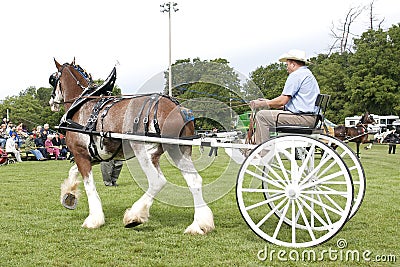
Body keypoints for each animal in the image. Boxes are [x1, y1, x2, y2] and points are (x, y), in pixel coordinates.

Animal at [49, 59, 216, 236]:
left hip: (145, 152)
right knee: (194, 180)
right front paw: (69, 195)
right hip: (176, 151)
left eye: (52, 79)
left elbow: (89, 186)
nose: (51, 102)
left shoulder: (80, 154)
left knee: (157, 181)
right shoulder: (96, 156)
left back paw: (134, 216)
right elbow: (72, 171)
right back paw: (199, 224)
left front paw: (94, 219)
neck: (82, 105)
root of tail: (179, 108)